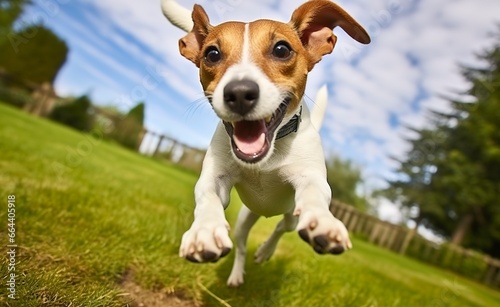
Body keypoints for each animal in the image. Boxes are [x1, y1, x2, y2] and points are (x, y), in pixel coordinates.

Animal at [162, 0, 370, 288]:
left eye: (282, 49)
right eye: (212, 54)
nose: (239, 93)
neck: (268, 156)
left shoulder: (309, 178)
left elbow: (315, 195)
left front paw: (323, 221)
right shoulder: (215, 179)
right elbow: (207, 197)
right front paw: (204, 229)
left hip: (290, 215)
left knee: (282, 228)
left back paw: (266, 251)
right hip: (243, 220)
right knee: (241, 247)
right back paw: (238, 273)